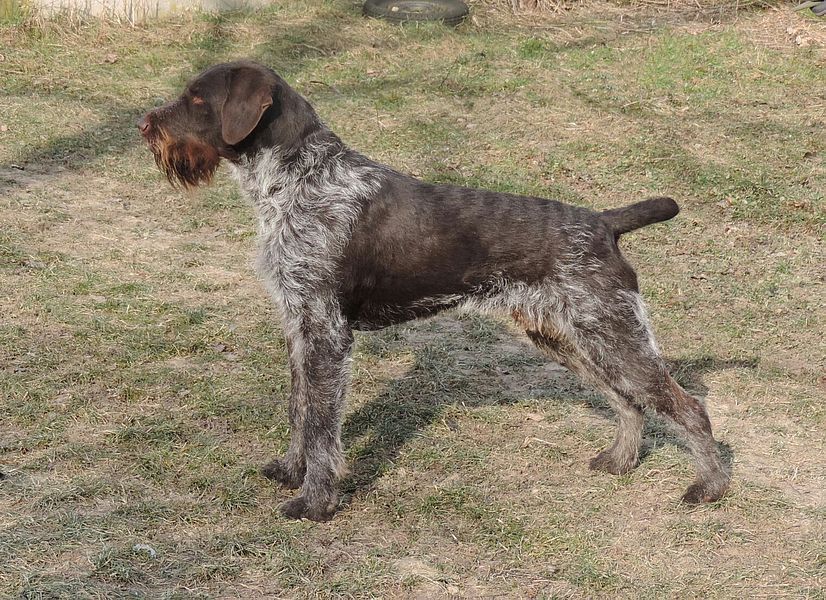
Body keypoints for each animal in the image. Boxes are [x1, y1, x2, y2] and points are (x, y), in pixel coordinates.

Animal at [138, 62, 732, 520]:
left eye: (197, 98)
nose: (144, 125)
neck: (298, 180)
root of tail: (603, 223)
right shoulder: (297, 325)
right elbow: (299, 410)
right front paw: (290, 471)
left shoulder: (326, 332)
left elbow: (322, 425)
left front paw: (315, 502)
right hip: (570, 336)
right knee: (628, 401)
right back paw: (621, 461)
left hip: (611, 332)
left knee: (687, 406)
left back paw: (709, 487)